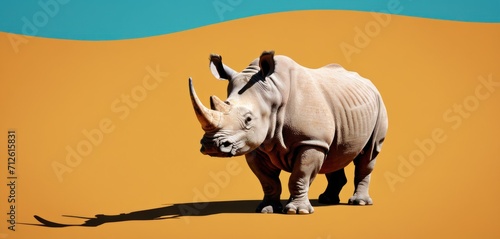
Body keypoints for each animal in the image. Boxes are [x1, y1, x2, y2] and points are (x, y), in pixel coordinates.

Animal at [189, 51, 388, 215]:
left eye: (248, 119)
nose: (211, 145)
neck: (273, 93)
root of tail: (369, 83)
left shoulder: (310, 141)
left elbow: (299, 176)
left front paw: (297, 211)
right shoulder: (257, 146)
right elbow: (268, 181)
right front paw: (267, 209)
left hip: (379, 105)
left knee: (369, 153)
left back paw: (359, 203)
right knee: (334, 154)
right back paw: (327, 200)